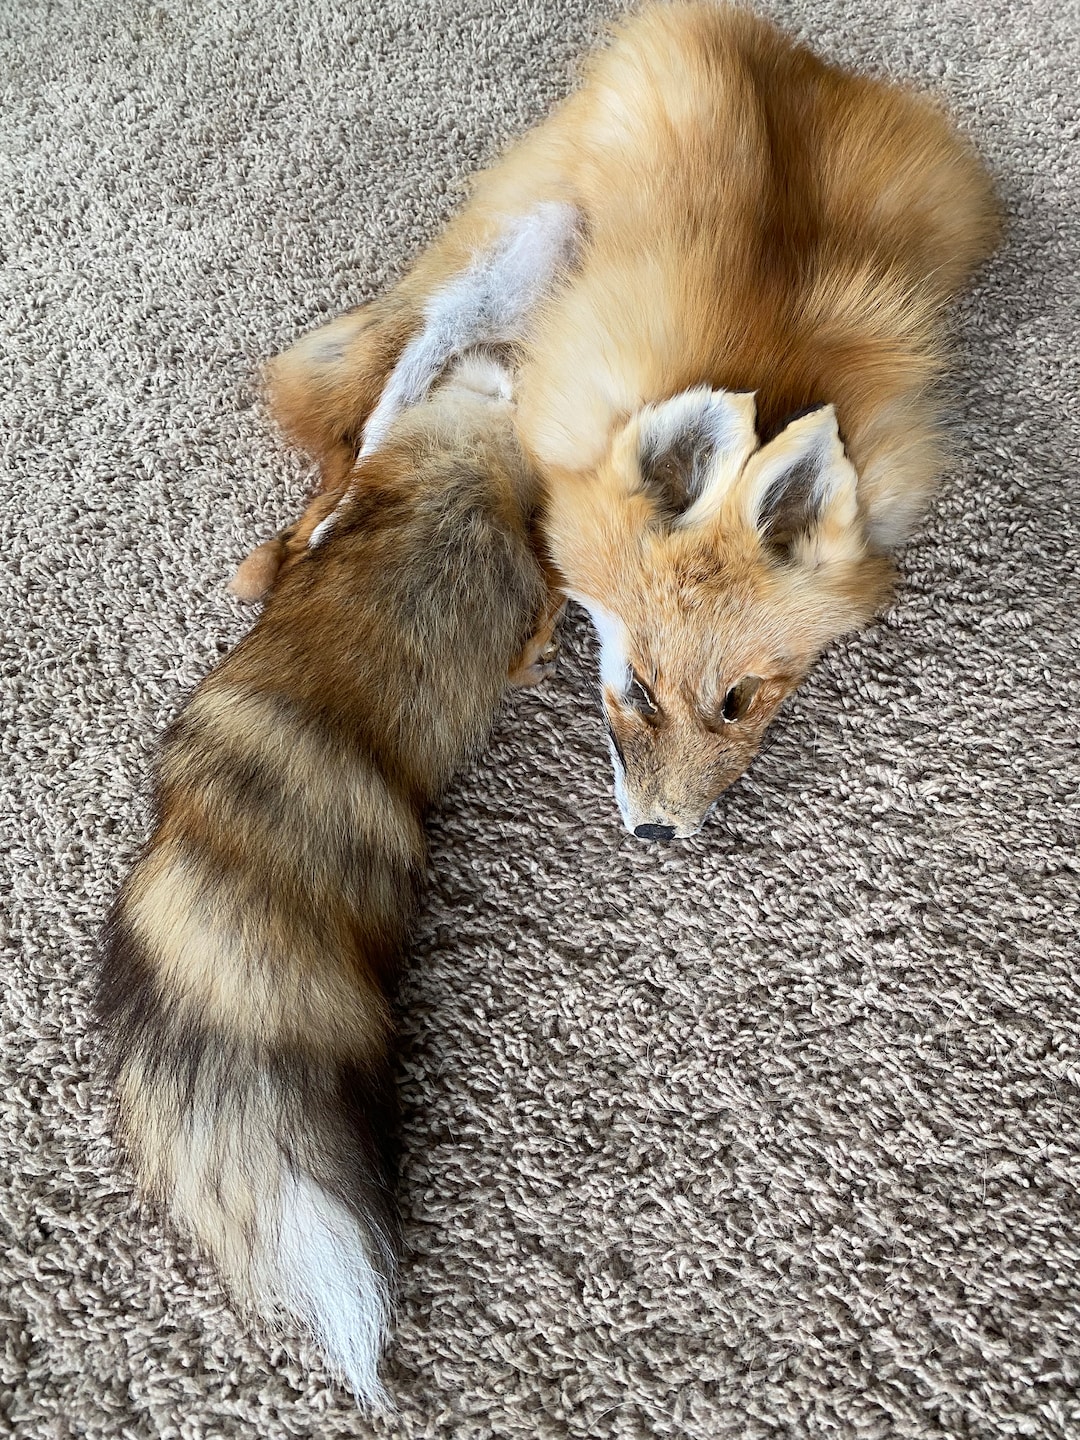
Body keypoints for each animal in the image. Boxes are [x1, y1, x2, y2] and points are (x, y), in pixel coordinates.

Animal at [234, 1, 999, 840]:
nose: (660, 831)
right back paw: (327, 519)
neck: (766, 367)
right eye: (639, 688)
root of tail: (795, 55)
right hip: (528, 252)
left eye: (739, 699)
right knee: (403, 374)